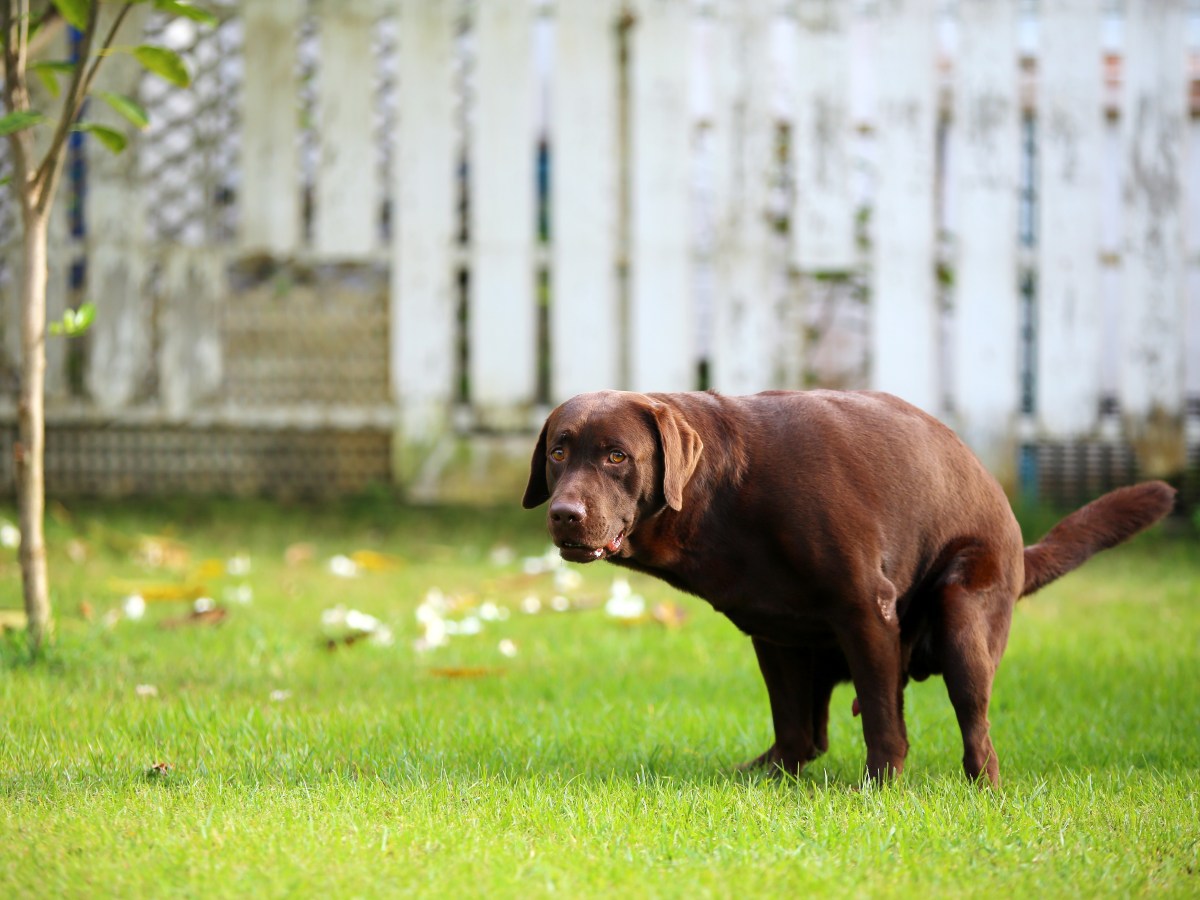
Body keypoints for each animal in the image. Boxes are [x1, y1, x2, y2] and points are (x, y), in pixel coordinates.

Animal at [523, 391, 1171, 787]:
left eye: (616, 456)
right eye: (558, 451)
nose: (564, 514)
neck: (726, 493)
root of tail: (1016, 538)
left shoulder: (866, 610)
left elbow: (884, 719)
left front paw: (879, 788)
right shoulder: (773, 633)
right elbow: (791, 724)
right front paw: (773, 779)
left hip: (964, 613)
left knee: (977, 731)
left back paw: (982, 790)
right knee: (812, 734)